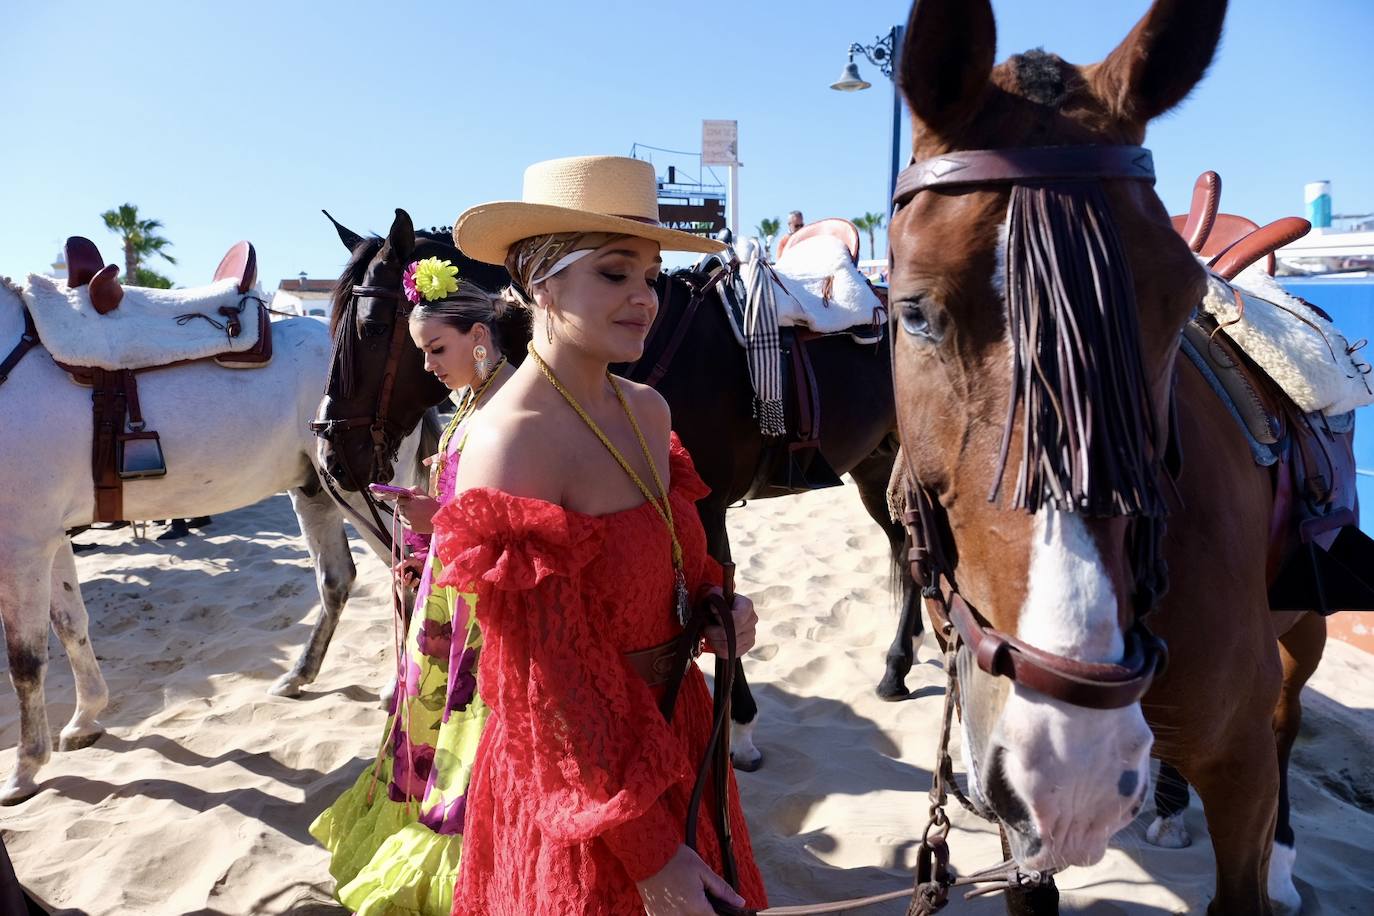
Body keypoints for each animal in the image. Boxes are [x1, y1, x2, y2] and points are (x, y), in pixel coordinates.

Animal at [0, 248, 417, 802]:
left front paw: (25, 767)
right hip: (317, 489)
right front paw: (85, 719)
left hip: (361, 493)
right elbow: (70, 625)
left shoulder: (20, 543)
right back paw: (298, 675)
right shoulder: (49, 536)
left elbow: (25, 661)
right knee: (337, 580)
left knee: (408, 576)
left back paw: (399, 689)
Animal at [316, 207, 928, 769]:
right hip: (875, 466)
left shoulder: (703, 508)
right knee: (905, 547)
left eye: (374, 327)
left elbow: (718, 599)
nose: (332, 455)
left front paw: (741, 729)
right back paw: (901, 661)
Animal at [890, 0, 1319, 911]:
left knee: (1290, 723)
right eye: (913, 313)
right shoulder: (1012, 793)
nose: (1074, 764)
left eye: (1183, 301)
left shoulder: (1241, 774)